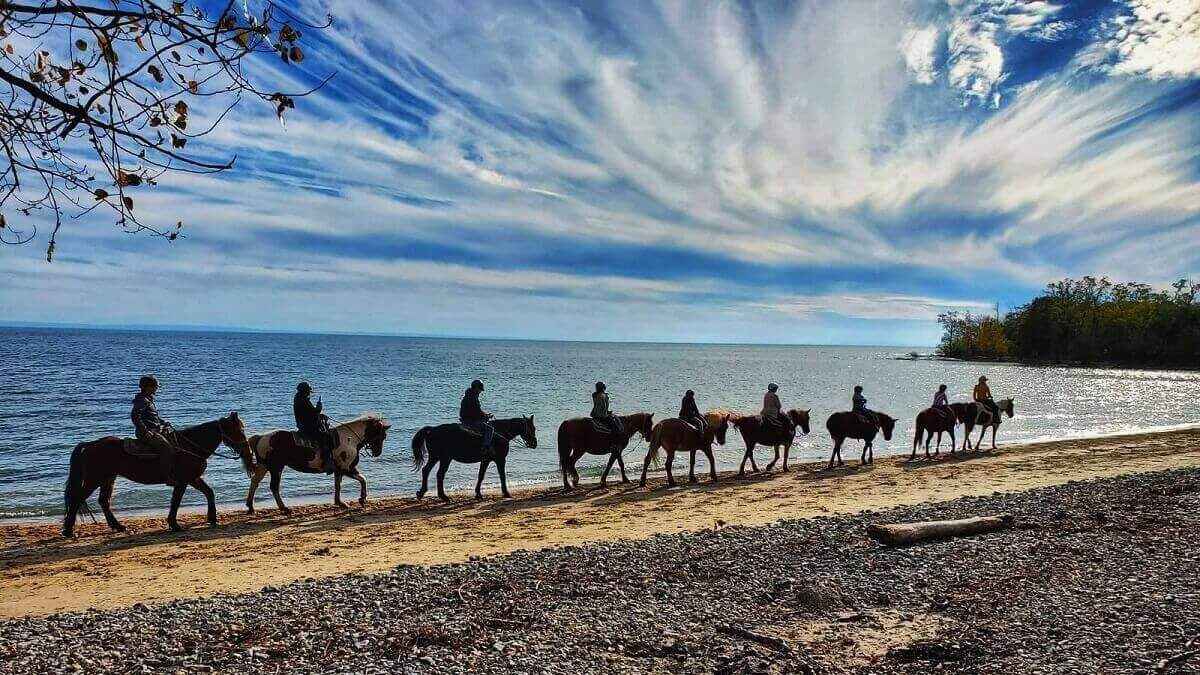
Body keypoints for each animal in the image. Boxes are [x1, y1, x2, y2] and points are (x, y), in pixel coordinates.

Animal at [63, 410, 253, 535]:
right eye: (237, 430)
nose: (247, 449)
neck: (189, 446)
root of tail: (91, 444)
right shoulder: (183, 481)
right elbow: (176, 501)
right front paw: (174, 525)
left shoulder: (193, 479)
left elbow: (209, 493)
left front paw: (212, 518)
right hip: (95, 478)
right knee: (78, 498)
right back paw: (68, 530)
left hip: (108, 478)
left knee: (104, 501)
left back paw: (118, 526)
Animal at [244, 413, 391, 511]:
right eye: (382, 435)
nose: (377, 452)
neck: (349, 439)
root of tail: (261, 437)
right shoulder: (347, 468)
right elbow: (363, 479)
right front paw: (362, 499)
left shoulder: (339, 470)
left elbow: (338, 485)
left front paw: (340, 503)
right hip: (276, 468)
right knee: (273, 487)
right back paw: (284, 508)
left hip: (264, 467)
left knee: (255, 482)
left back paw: (251, 506)